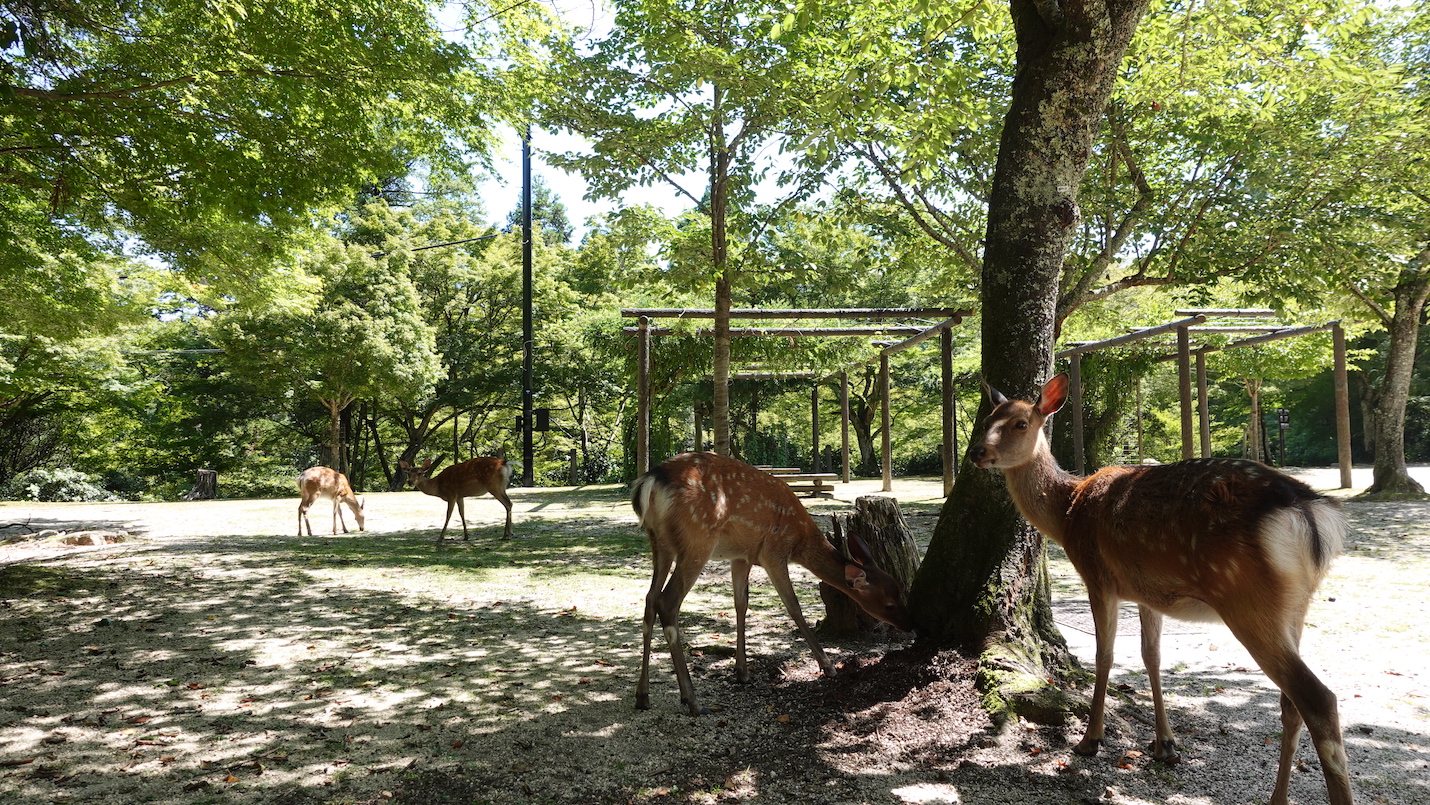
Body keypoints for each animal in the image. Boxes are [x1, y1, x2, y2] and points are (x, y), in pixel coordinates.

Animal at [630, 451, 913, 716]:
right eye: (889, 604)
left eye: (900, 591)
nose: (910, 625)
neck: (800, 539)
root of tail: (650, 481)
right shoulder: (774, 551)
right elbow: (793, 606)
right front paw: (827, 665)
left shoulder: (741, 556)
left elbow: (741, 604)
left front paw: (742, 672)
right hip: (699, 537)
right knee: (667, 601)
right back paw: (692, 700)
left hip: (660, 541)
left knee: (649, 599)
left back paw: (643, 695)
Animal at [973, 373, 1351, 805]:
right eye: (987, 418)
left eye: (1020, 423)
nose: (977, 452)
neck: (1068, 512)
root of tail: (1311, 513)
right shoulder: (1147, 592)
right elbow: (1151, 656)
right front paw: (1166, 745)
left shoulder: (1098, 576)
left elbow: (1105, 655)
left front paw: (1090, 740)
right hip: (1294, 605)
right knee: (1291, 702)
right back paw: (1277, 799)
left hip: (1247, 599)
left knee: (1318, 698)